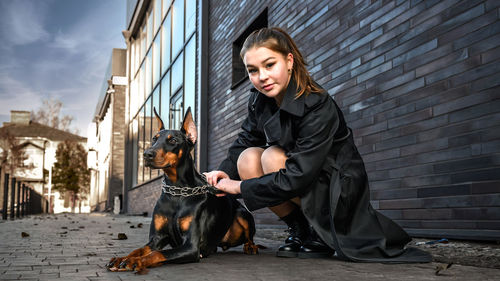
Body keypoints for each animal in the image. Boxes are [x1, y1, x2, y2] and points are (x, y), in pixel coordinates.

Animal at [107, 106, 260, 272]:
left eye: (173, 140)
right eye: (154, 139)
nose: (146, 154)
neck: (177, 192)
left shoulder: (191, 246)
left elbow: (158, 254)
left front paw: (137, 261)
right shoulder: (156, 239)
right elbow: (139, 250)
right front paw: (123, 258)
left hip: (243, 214)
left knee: (250, 236)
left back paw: (251, 246)